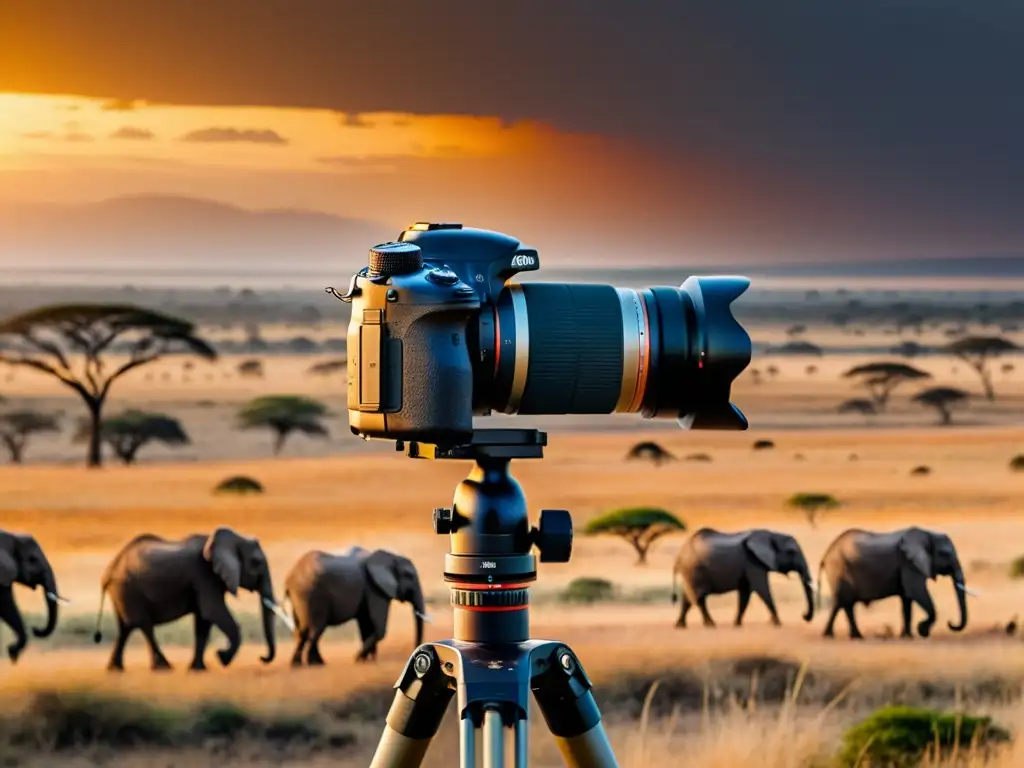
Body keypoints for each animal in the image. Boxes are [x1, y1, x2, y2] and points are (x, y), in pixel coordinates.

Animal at [93, 528, 292, 671]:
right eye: (256, 563)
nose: (262, 658)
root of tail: (109, 571)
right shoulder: (204, 575)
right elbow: (213, 612)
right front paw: (222, 658)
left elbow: (203, 622)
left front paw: (198, 668)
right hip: (128, 589)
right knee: (143, 626)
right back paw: (164, 667)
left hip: (121, 592)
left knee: (125, 628)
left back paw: (115, 669)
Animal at [284, 548, 432, 667]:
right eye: (409, 576)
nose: (416, 657)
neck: (391, 556)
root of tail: (290, 578)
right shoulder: (375, 589)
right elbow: (379, 628)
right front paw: (358, 659)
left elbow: (365, 624)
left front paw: (367, 661)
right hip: (312, 594)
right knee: (314, 628)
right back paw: (314, 664)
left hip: (301, 597)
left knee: (302, 630)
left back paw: (298, 664)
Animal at [671, 528, 815, 630]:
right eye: (791, 552)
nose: (804, 616)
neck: (772, 534)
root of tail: (679, 556)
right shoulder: (753, 562)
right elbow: (762, 589)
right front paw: (778, 624)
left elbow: (745, 593)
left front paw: (737, 624)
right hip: (695, 570)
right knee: (699, 598)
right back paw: (711, 625)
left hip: (690, 572)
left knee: (687, 598)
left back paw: (680, 626)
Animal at [815, 528, 966, 638]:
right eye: (945, 554)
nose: (950, 623)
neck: (929, 533)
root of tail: (825, 555)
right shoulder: (909, 563)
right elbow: (916, 592)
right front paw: (922, 630)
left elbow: (907, 600)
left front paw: (907, 636)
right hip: (839, 569)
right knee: (841, 602)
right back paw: (837, 636)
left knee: (844, 604)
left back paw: (851, 636)